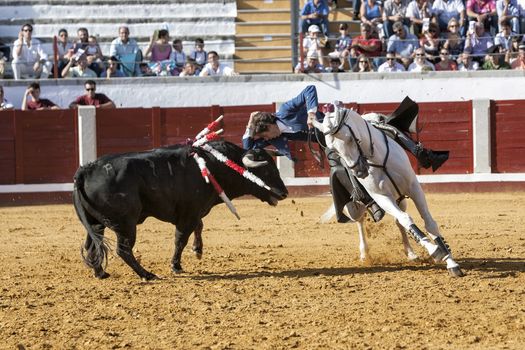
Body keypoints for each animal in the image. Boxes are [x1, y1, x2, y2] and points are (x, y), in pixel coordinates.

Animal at [73, 141, 286, 280]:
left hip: (96, 223)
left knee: (92, 245)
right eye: (266, 171)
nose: (284, 192)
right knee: (123, 249)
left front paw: (197, 250)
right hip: (126, 224)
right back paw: (147, 275)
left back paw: (101, 273)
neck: (214, 164)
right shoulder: (188, 214)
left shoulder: (194, 211)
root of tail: (86, 170)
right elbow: (181, 238)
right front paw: (176, 265)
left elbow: (199, 227)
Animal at [312, 106, 462, 276]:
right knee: (360, 221)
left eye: (349, 138)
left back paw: (411, 253)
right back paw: (365, 254)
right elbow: (406, 219)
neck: (375, 158)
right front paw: (435, 251)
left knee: (398, 221)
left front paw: (450, 261)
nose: (359, 172)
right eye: (333, 149)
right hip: (354, 208)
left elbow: (429, 223)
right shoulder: (382, 197)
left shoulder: (413, 187)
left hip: (400, 199)